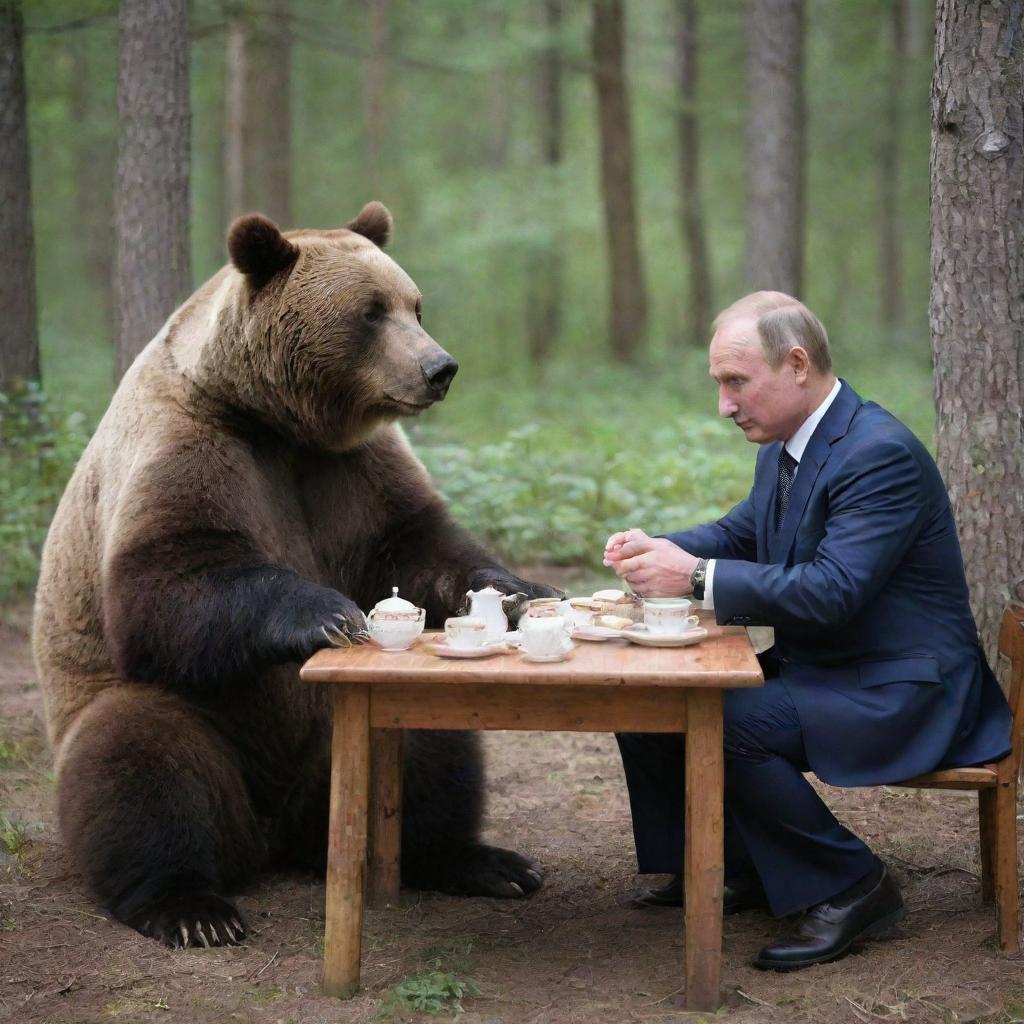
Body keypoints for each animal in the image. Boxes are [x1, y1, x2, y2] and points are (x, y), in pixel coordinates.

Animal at [34, 201, 561, 950]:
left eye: (415, 305)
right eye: (371, 312)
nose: (440, 367)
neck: (277, 420)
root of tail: (277, 831)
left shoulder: (351, 469)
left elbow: (416, 548)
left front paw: (522, 592)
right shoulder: (190, 445)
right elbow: (167, 578)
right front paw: (329, 614)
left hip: (343, 748)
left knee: (431, 753)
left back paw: (480, 860)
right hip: (178, 726)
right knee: (141, 758)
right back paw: (191, 905)